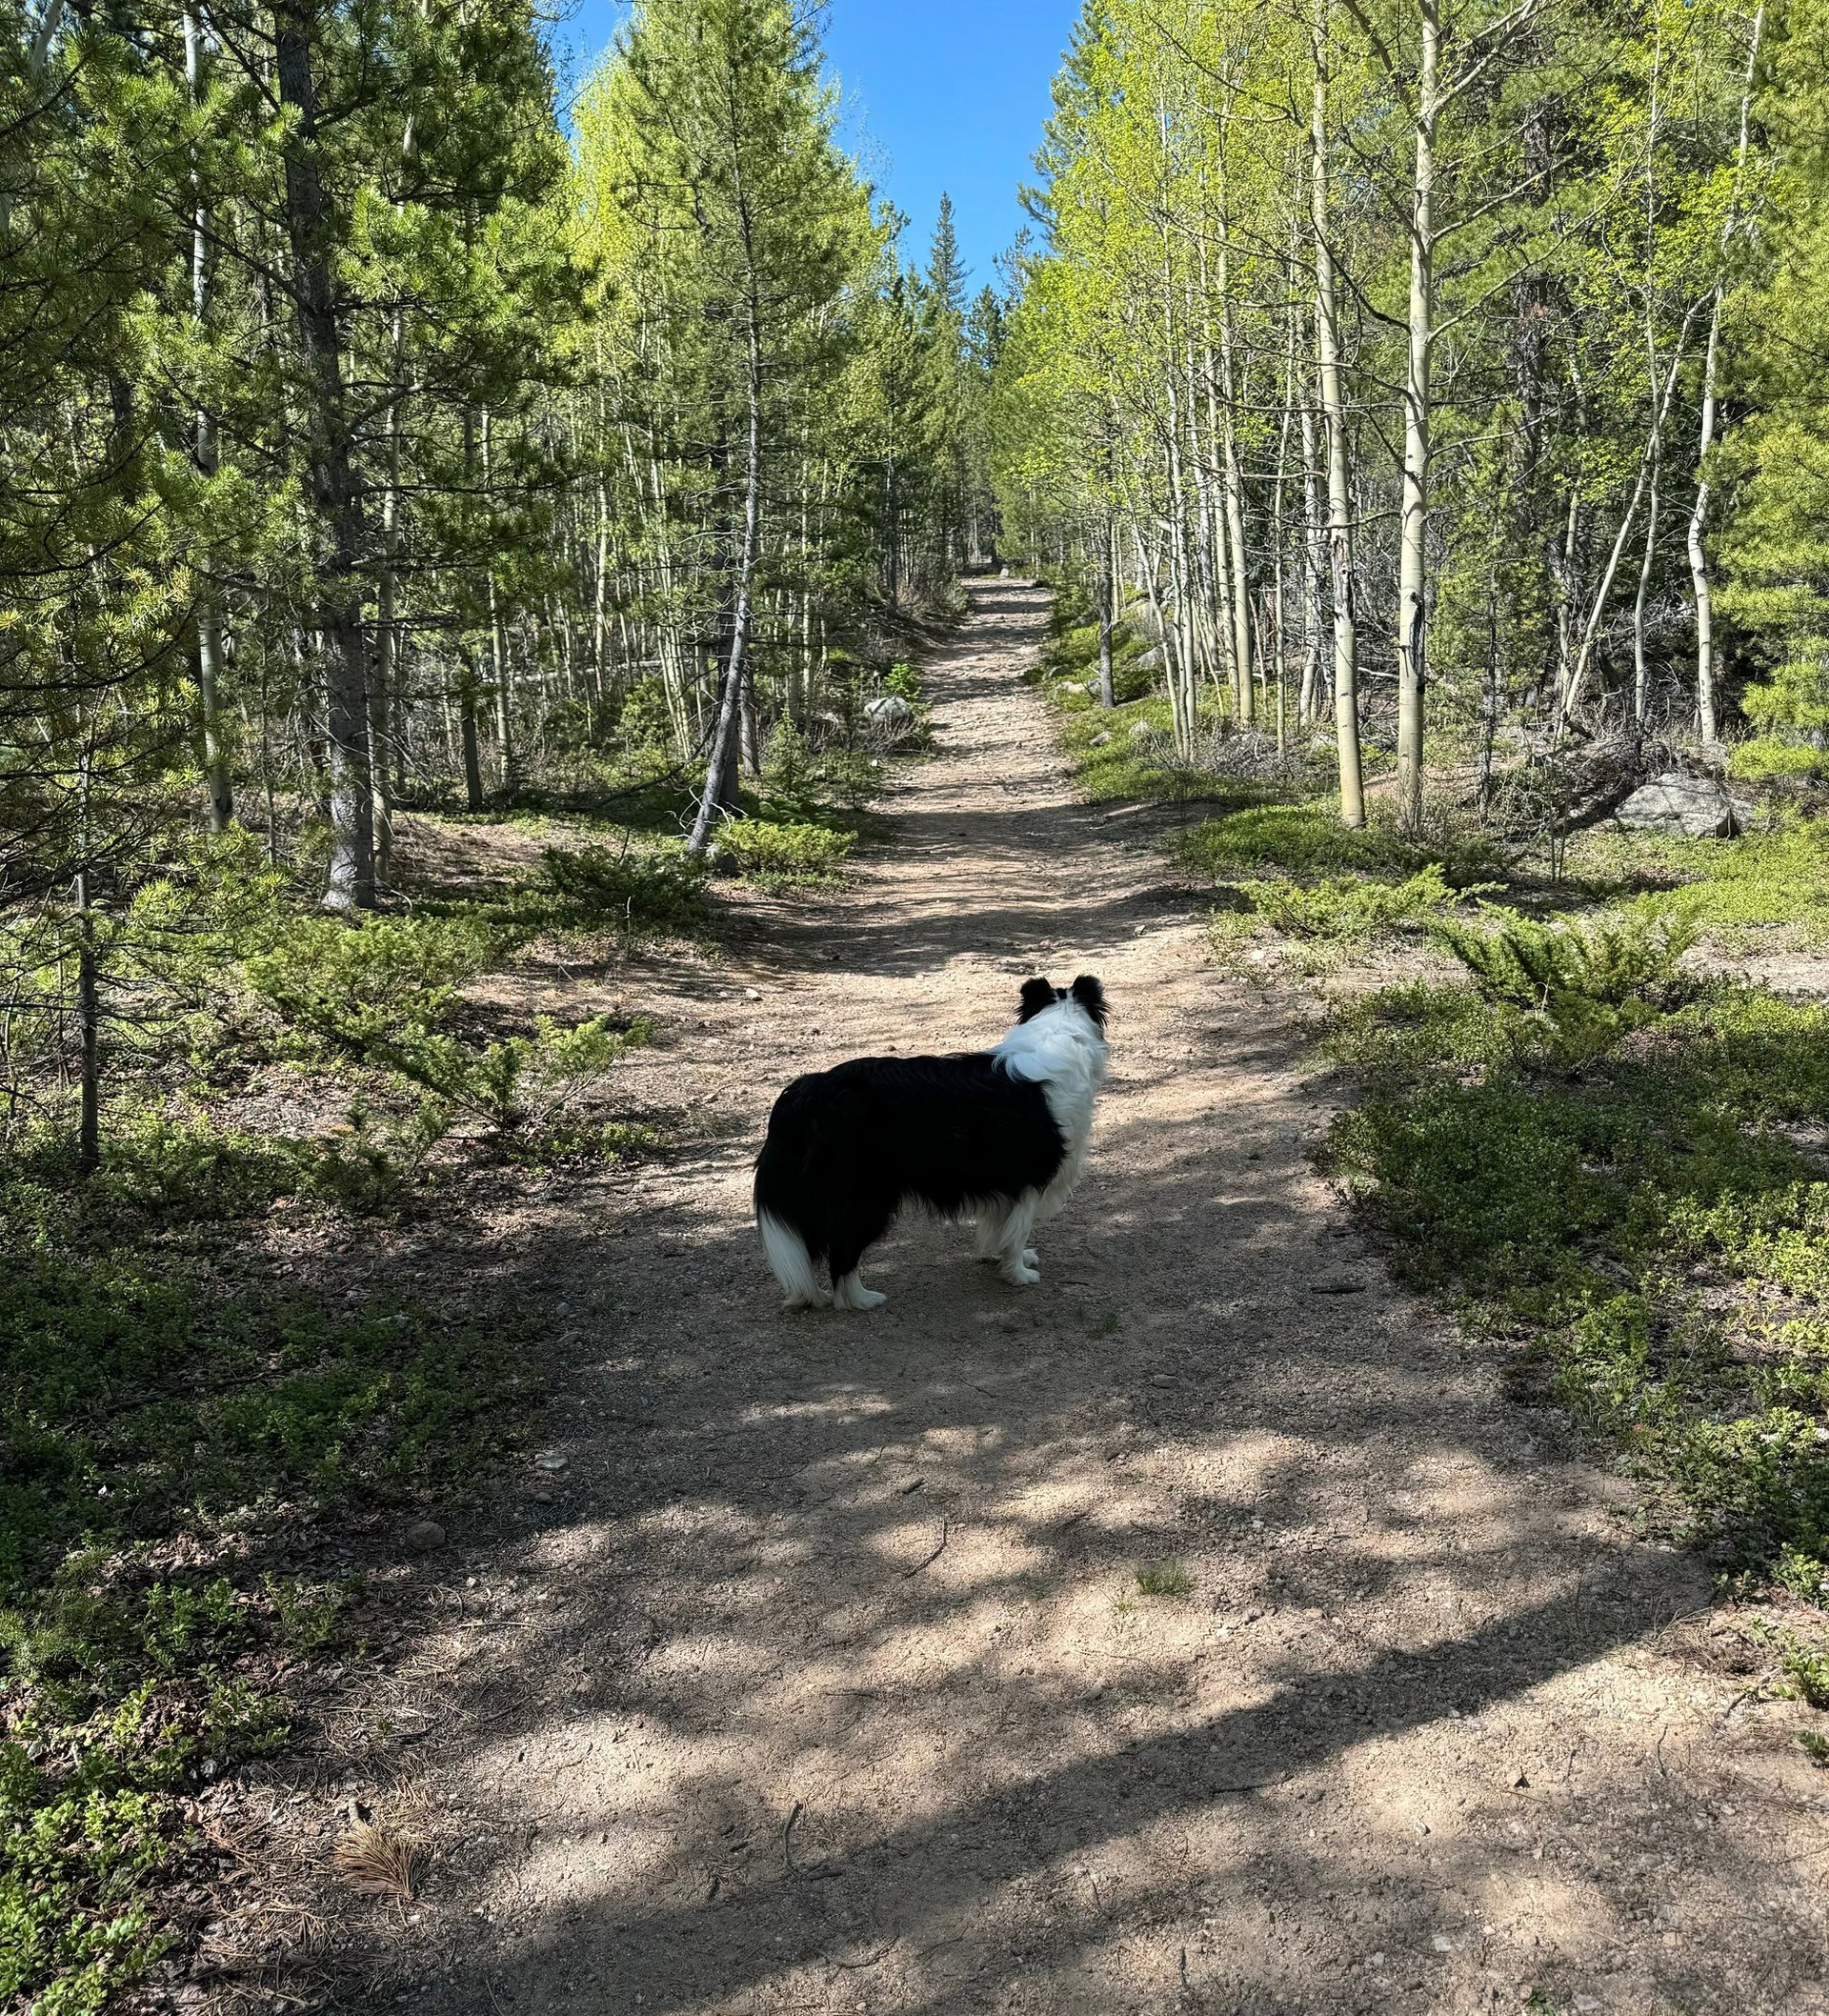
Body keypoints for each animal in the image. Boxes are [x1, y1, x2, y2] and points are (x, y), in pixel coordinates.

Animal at [754, 971, 1105, 1306]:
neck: (1059, 1029)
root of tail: (806, 1091)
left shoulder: (1005, 1185)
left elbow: (1001, 1227)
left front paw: (1000, 1257)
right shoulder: (1030, 1177)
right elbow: (1018, 1232)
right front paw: (1018, 1273)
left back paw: (812, 1297)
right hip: (865, 1193)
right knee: (842, 1249)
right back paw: (860, 1299)